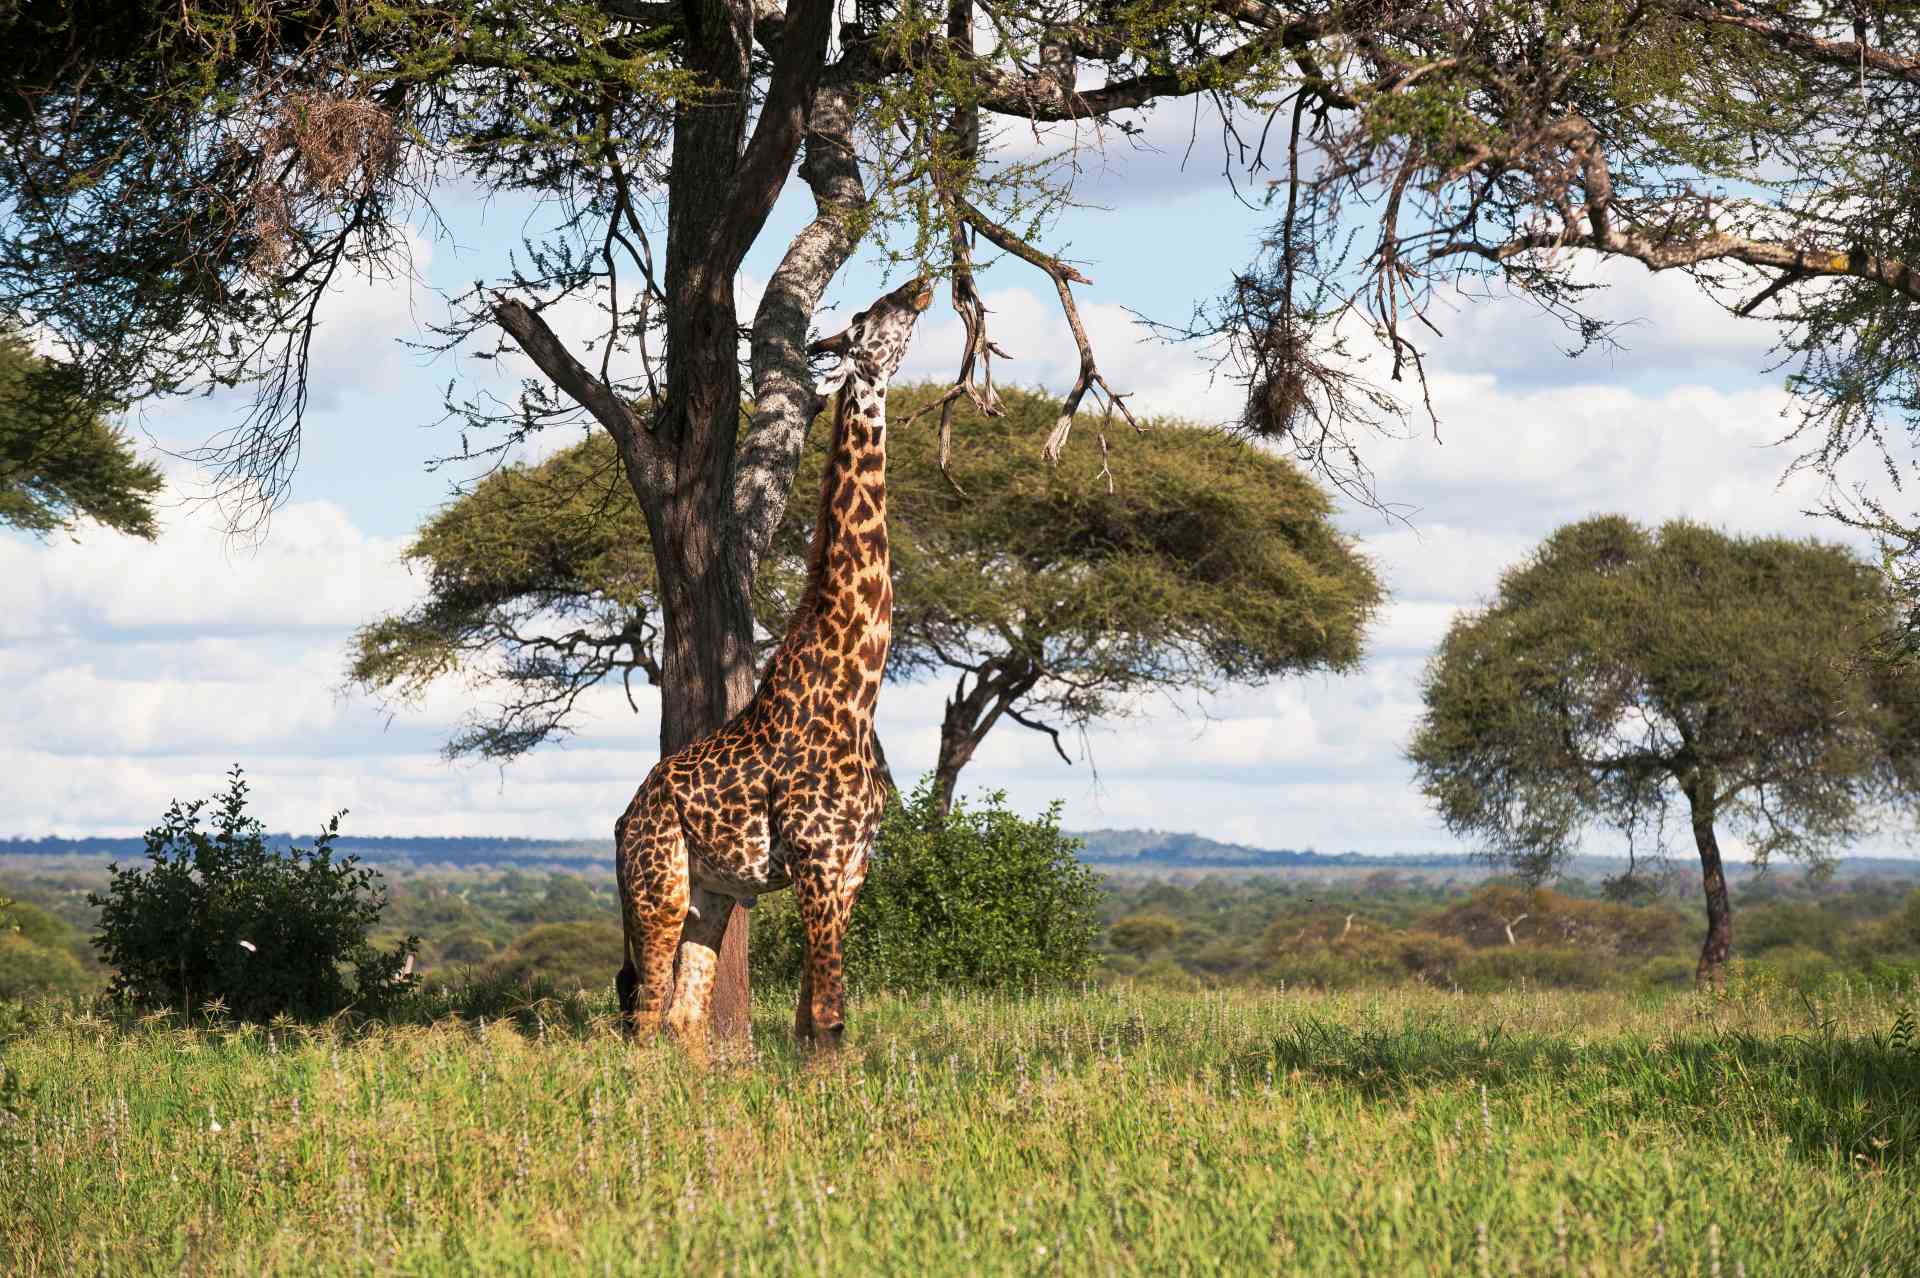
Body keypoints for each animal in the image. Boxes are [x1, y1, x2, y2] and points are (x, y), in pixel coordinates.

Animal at [613, 275, 933, 1051]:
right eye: (869, 315)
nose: (919, 286)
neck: (858, 687)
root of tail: (623, 819)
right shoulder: (818, 857)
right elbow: (828, 1017)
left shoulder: (852, 865)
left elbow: (814, 1019)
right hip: (658, 886)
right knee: (644, 1015)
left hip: (714, 893)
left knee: (684, 1016)